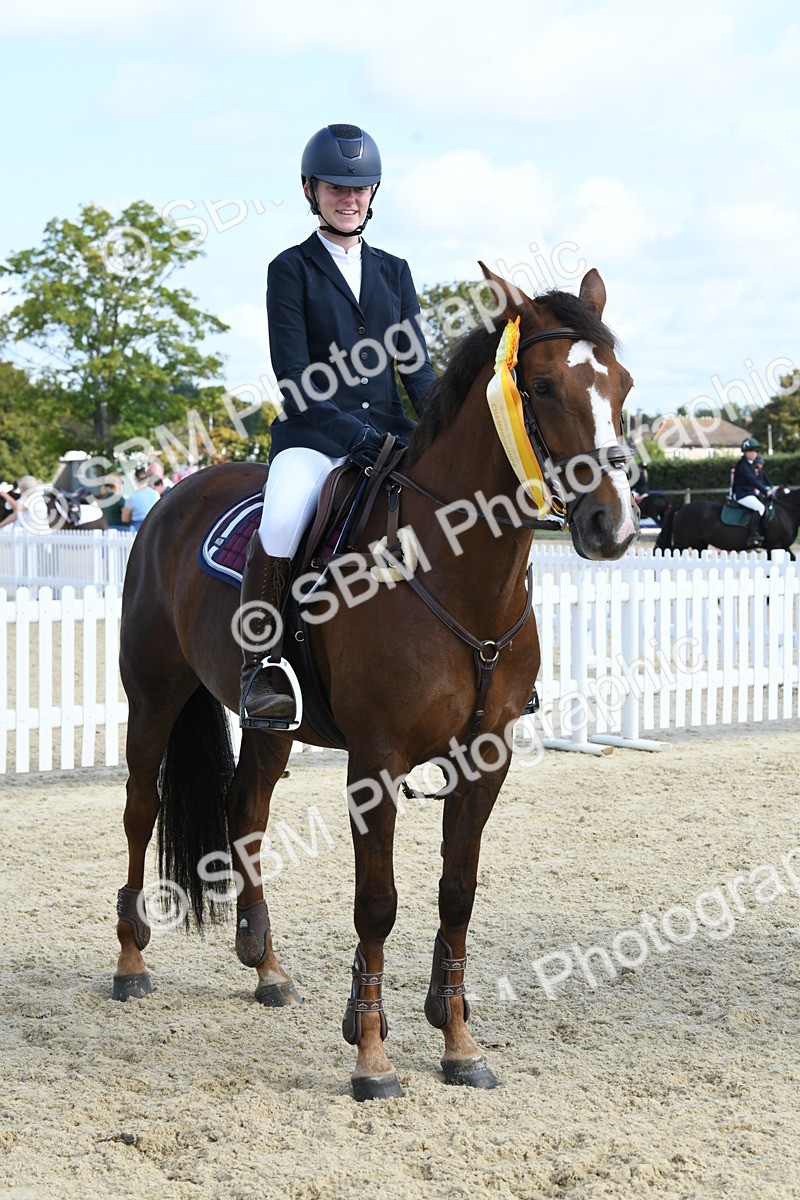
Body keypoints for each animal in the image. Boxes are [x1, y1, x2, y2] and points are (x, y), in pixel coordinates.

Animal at [112, 264, 638, 1101]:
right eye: (543, 386)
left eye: (622, 384)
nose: (610, 525)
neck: (455, 570)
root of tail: (174, 496)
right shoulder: (377, 761)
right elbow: (378, 905)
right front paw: (370, 1055)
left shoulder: (485, 758)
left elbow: (457, 894)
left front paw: (458, 1042)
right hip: (154, 694)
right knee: (141, 806)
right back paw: (131, 959)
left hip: (271, 724)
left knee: (245, 808)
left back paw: (267, 967)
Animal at [655, 488, 800, 557]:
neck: (785, 511)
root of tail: (683, 507)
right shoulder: (774, 546)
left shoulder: (784, 546)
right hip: (682, 543)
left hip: (699, 544)